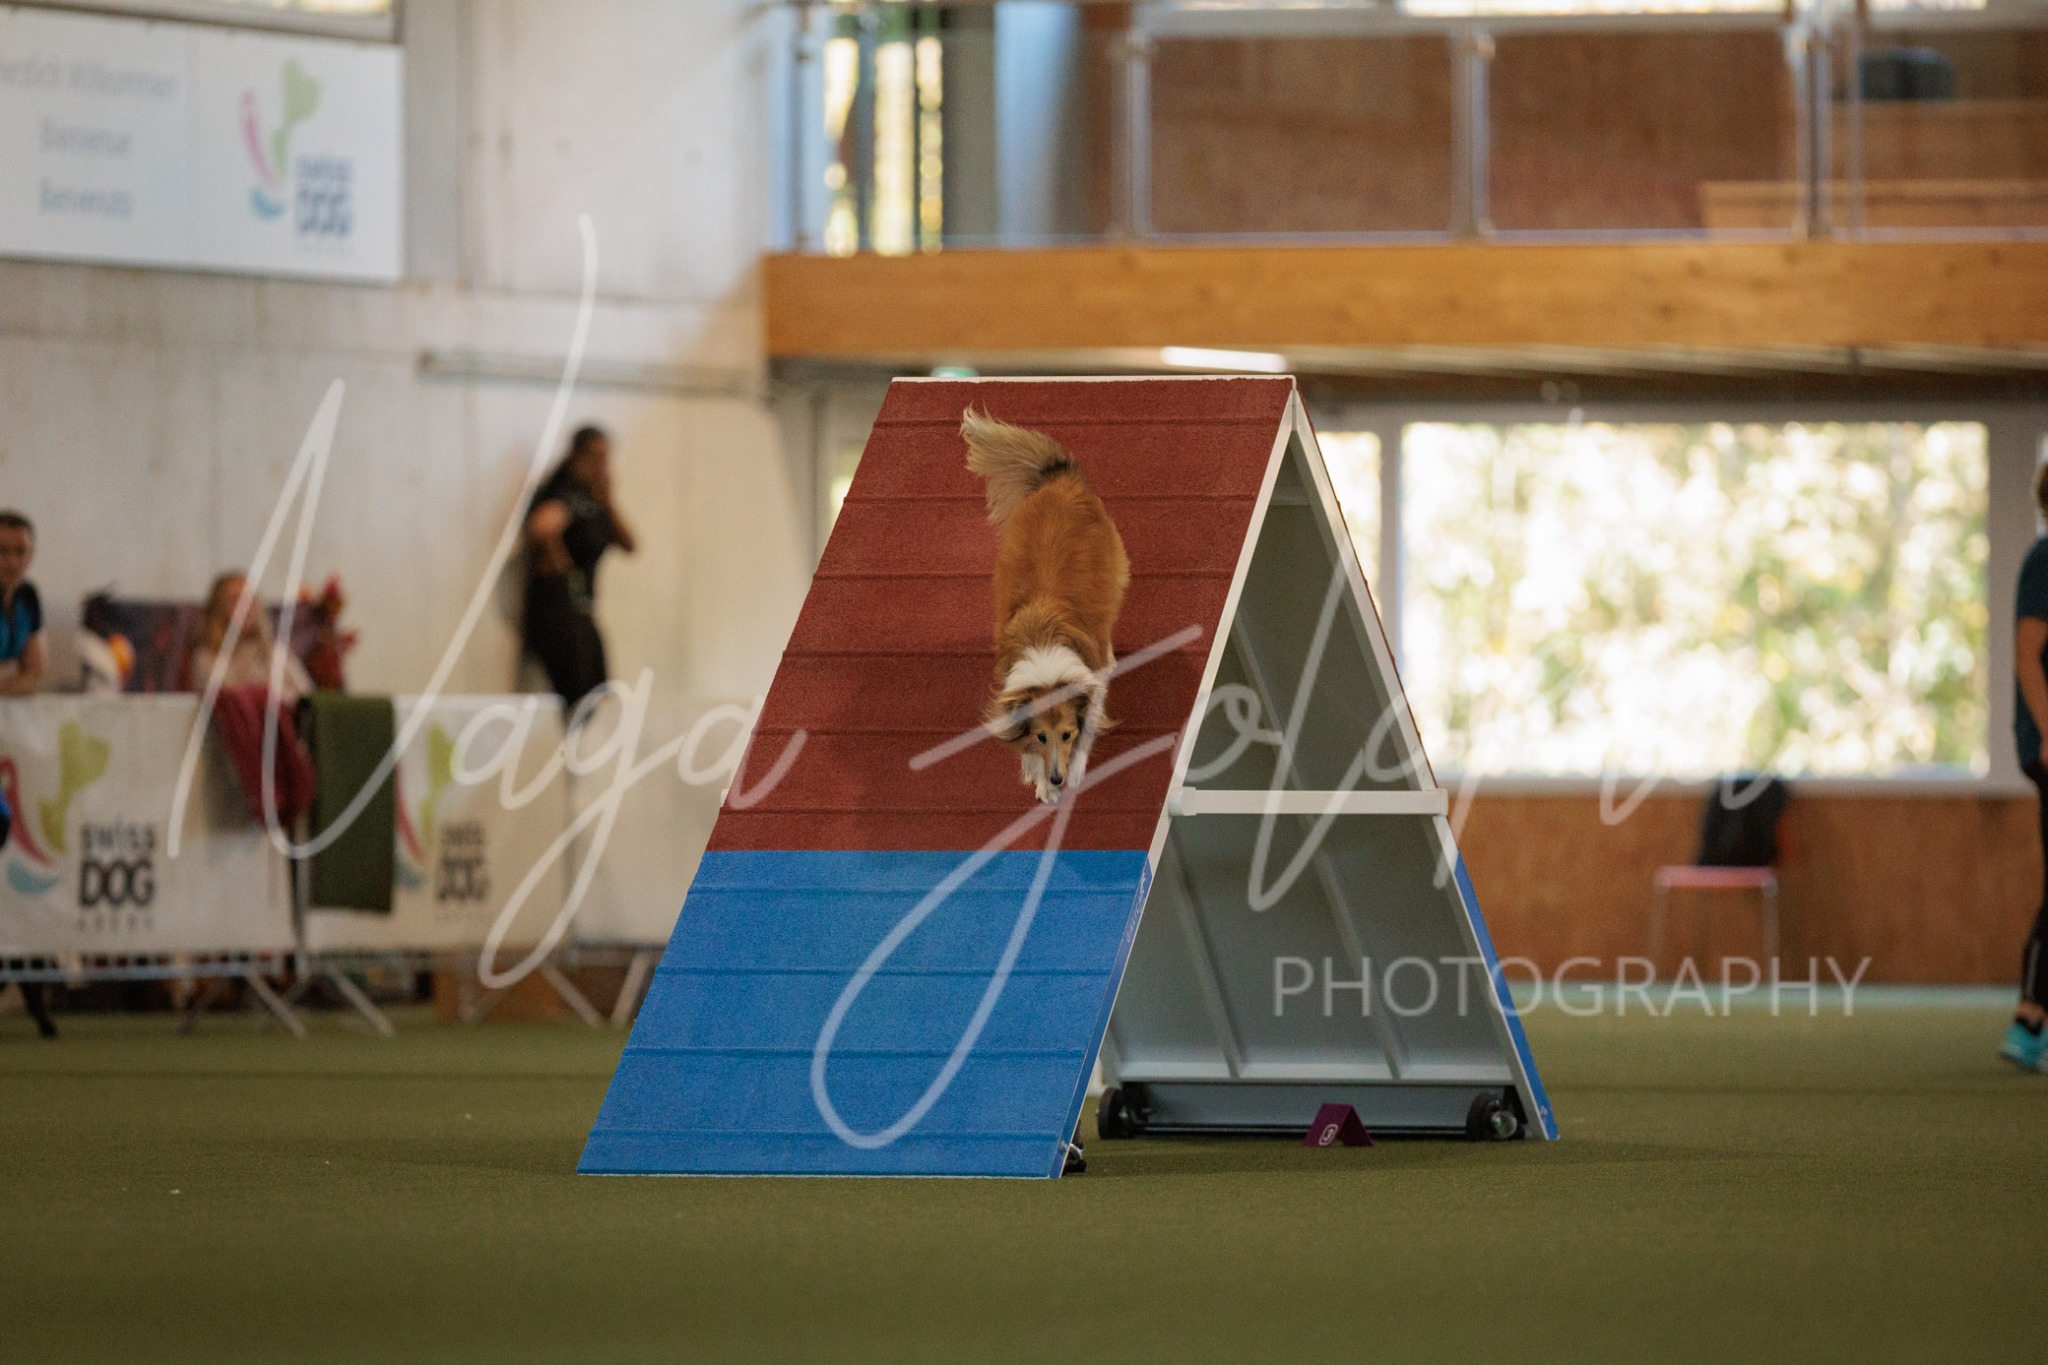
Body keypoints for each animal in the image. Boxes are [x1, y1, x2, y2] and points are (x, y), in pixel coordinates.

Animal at [962, 407, 1129, 804]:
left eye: (1067, 734)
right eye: (1040, 736)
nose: (1057, 778)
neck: (1044, 650)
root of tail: (1061, 480)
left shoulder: (1089, 683)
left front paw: (1076, 771)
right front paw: (1039, 779)